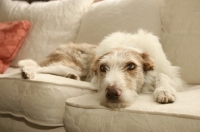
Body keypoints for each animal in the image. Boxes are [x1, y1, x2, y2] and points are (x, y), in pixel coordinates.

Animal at [18, 29, 184, 108]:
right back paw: (28, 71)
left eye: (131, 66)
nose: (112, 93)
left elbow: (162, 76)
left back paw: (71, 77)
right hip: (72, 65)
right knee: (41, 67)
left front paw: (164, 91)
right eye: (103, 68)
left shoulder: (168, 74)